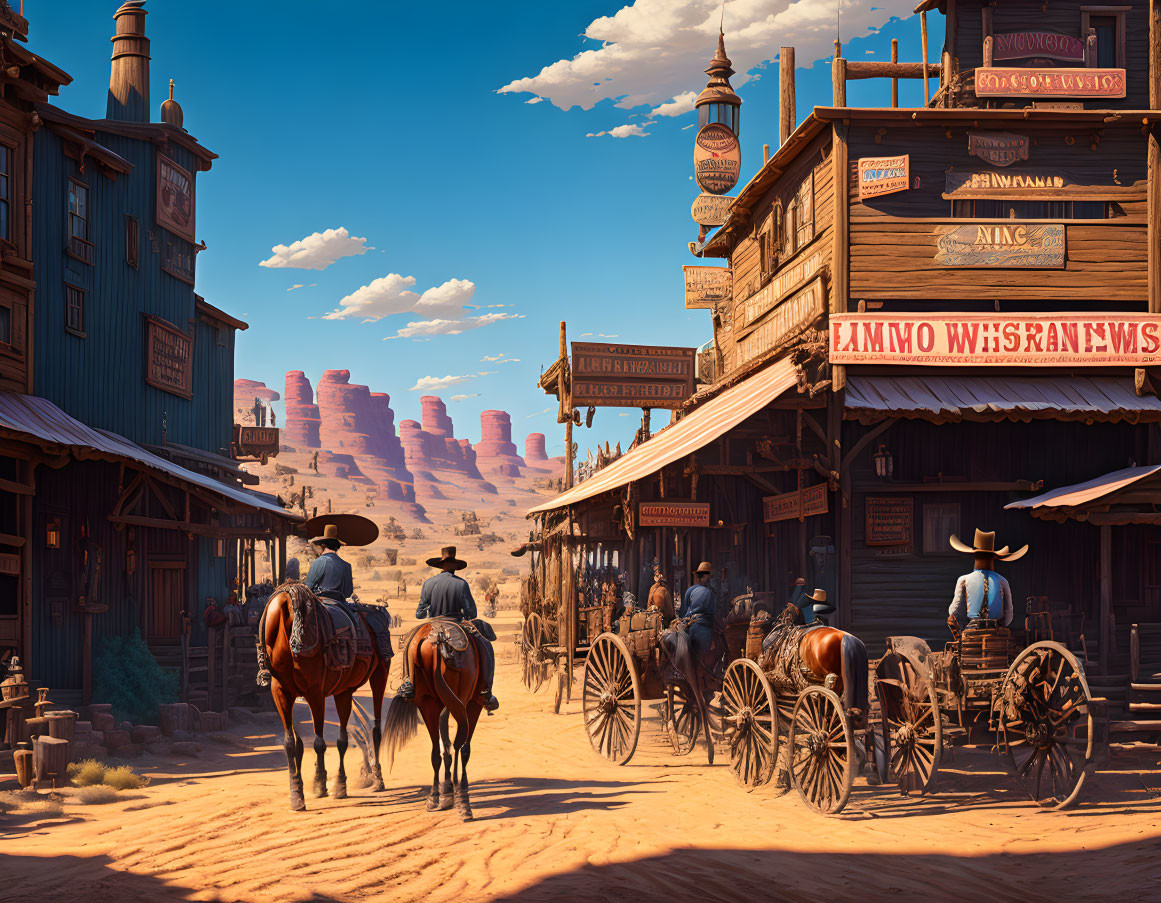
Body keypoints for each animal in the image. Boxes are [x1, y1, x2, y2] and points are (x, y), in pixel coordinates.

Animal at [261, 580, 392, 812]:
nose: (296, 644)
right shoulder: (306, 693)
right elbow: (314, 742)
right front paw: (323, 785)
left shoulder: (317, 693)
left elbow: (319, 741)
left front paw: (319, 785)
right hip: (377, 674)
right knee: (373, 729)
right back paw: (376, 777)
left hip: (375, 676)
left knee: (370, 729)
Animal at [380, 617, 485, 817]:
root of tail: (438, 639)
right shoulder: (473, 704)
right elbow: (463, 748)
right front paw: (454, 791)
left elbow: (444, 747)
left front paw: (445, 792)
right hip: (462, 700)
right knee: (458, 744)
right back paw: (461, 799)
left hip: (428, 704)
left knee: (436, 751)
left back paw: (436, 796)